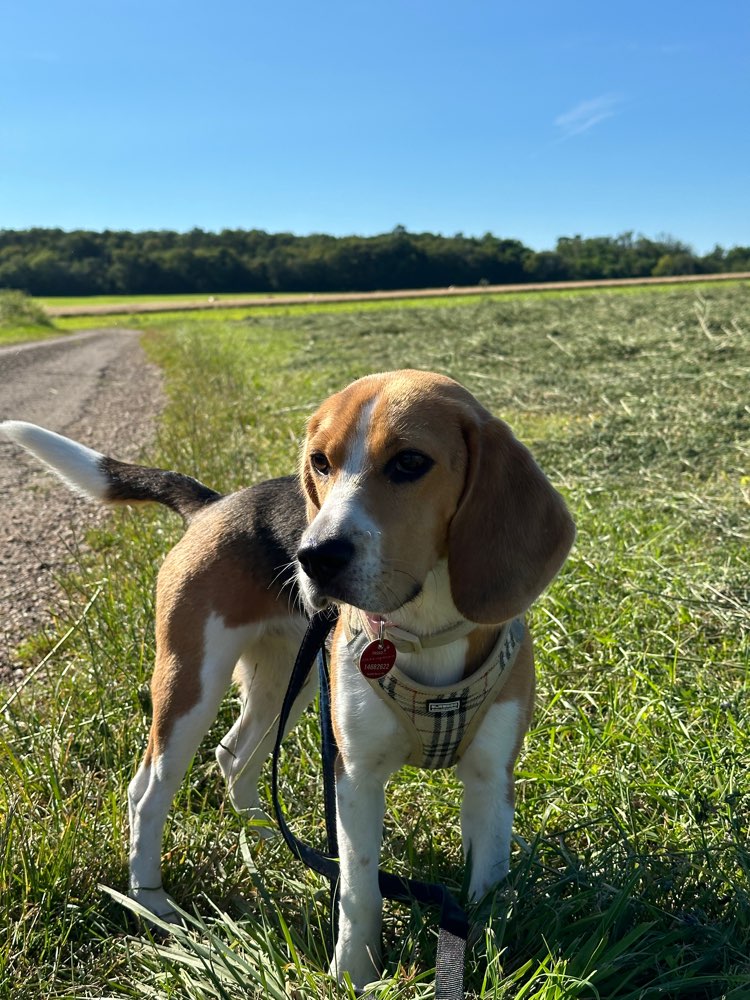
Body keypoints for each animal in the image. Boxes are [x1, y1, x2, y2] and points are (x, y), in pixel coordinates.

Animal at [1, 370, 576, 984]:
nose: (312, 556)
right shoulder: (354, 776)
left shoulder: (492, 778)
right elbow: (361, 887)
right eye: (320, 461)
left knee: (233, 755)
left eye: (410, 462)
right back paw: (151, 901)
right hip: (191, 682)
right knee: (148, 789)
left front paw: (489, 956)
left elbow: (488, 886)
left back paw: (268, 838)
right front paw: (355, 974)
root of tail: (216, 503)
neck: (423, 629)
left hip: (288, 681)